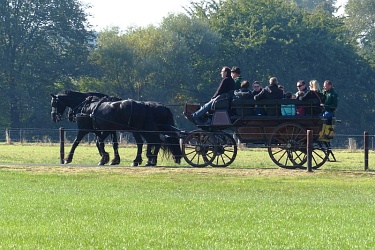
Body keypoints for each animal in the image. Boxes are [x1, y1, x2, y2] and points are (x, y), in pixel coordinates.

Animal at [50, 90, 183, 166]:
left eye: (54, 103)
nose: (54, 117)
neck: (87, 106)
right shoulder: (106, 130)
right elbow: (105, 143)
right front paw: (109, 158)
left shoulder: (85, 129)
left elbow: (76, 143)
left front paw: (68, 159)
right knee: (154, 141)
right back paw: (150, 160)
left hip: (137, 130)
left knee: (145, 142)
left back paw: (140, 160)